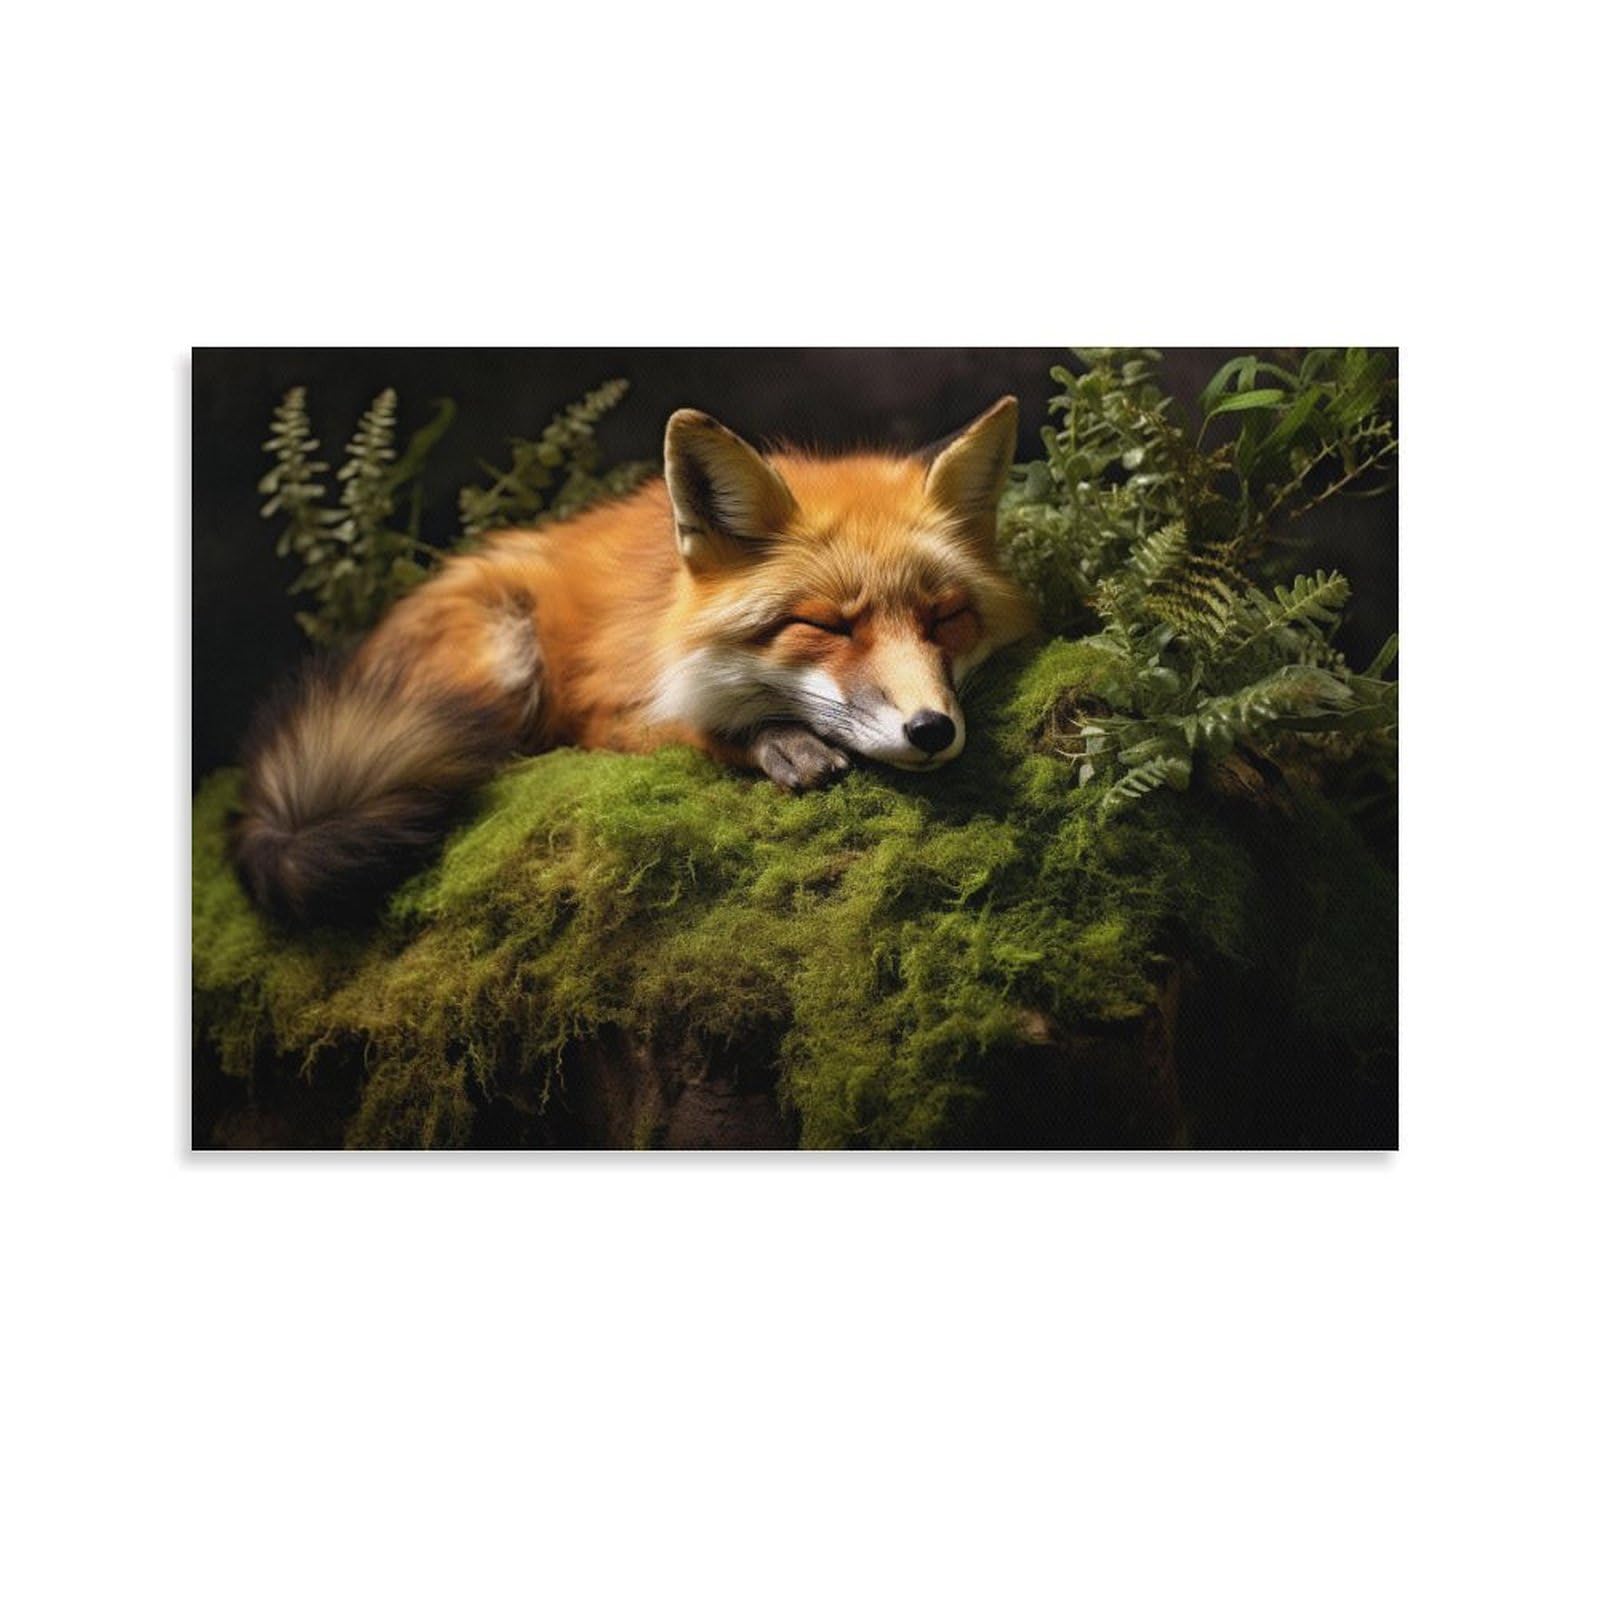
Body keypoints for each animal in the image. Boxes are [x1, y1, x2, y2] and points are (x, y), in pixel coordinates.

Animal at [232, 396, 1036, 922]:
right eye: (826, 626)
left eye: (945, 617)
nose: (932, 730)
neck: (665, 617)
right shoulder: (602, 710)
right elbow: (699, 727)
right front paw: (774, 739)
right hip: (501, 662)